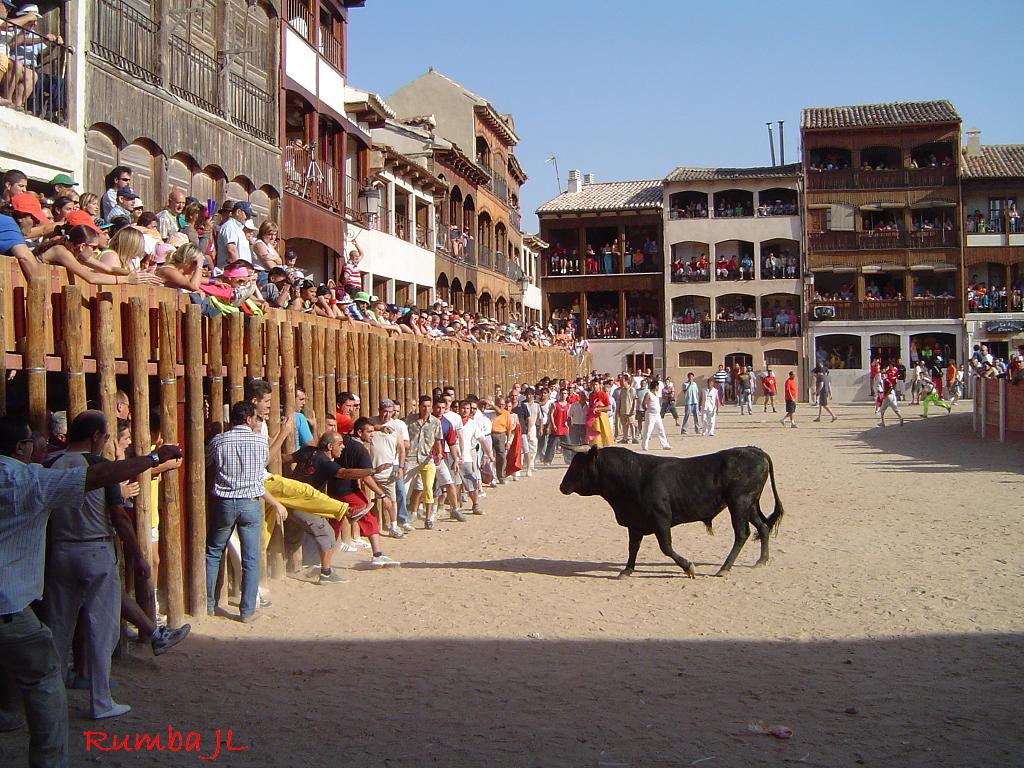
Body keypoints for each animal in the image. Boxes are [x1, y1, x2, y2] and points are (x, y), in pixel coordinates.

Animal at [561, 444, 782, 577]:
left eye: (578, 465)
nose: (562, 486)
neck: (632, 475)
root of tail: (755, 451)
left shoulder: (661, 521)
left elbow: (666, 547)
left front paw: (688, 567)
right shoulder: (634, 523)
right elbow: (633, 547)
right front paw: (627, 570)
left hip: (739, 502)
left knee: (742, 533)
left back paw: (724, 569)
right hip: (749, 504)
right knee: (762, 527)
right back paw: (761, 560)